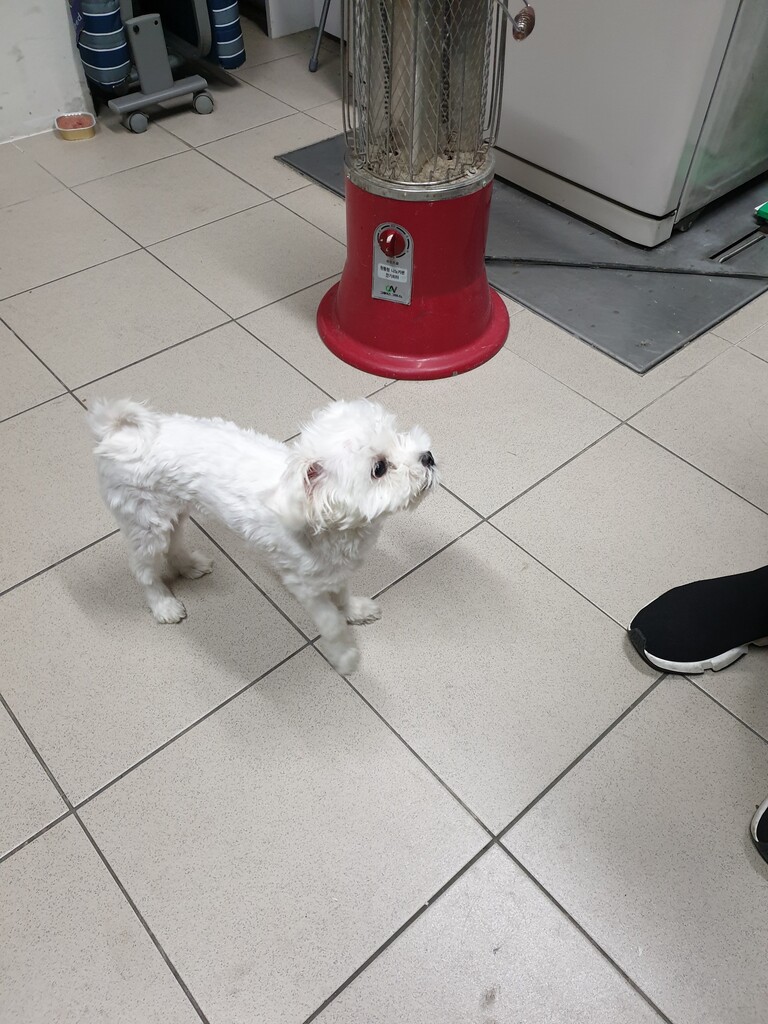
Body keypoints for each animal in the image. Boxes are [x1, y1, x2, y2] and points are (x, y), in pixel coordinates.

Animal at [87, 398, 437, 674]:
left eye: (399, 436)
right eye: (380, 468)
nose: (428, 457)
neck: (326, 520)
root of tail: (119, 432)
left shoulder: (334, 570)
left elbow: (343, 596)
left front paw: (355, 611)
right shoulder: (304, 584)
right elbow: (331, 622)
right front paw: (346, 656)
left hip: (173, 507)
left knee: (175, 539)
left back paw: (187, 565)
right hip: (144, 520)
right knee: (143, 568)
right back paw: (163, 604)